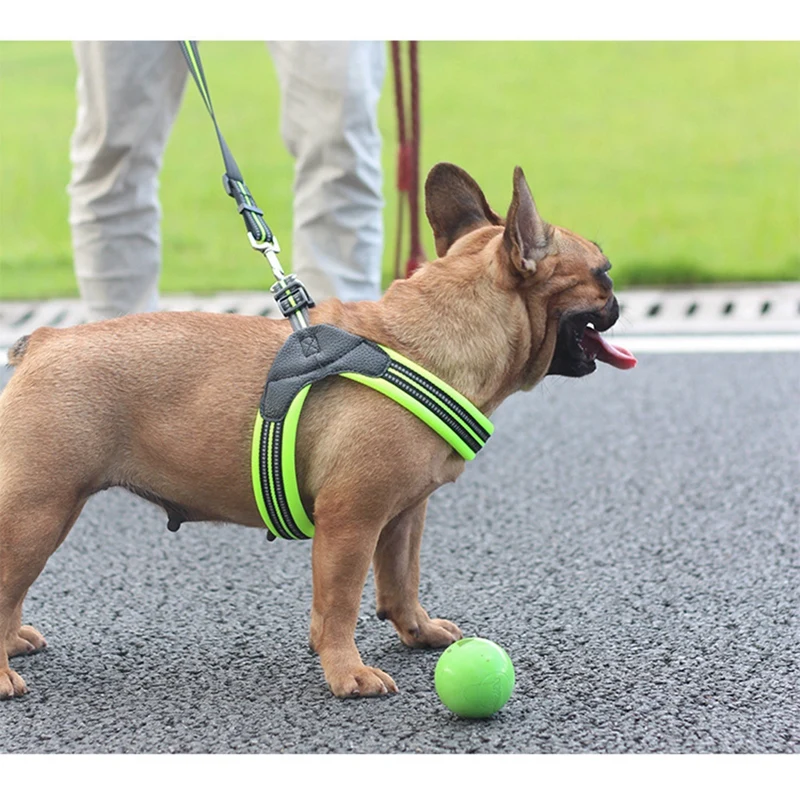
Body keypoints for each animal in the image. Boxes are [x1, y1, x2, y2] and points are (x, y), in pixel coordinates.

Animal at [1, 164, 636, 700]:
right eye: (602, 274)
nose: (620, 301)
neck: (429, 342)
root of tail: (44, 342)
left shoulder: (403, 515)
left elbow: (400, 580)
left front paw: (418, 631)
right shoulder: (350, 521)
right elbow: (342, 601)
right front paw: (347, 672)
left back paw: (13, 643)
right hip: (39, 510)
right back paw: (4, 674)